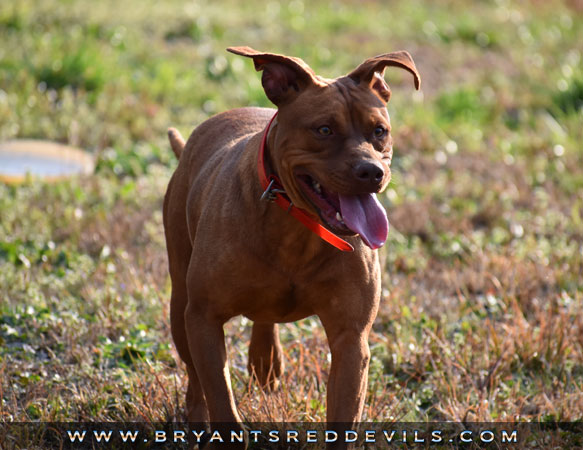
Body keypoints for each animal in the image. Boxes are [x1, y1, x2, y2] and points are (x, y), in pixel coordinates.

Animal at [163, 46, 420, 446]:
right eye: (324, 130)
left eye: (379, 131)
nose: (372, 172)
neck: (298, 228)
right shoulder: (203, 318)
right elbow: (219, 396)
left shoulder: (351, 339)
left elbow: (343, 416)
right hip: (180, 303)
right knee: (194, 374)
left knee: (264, 319)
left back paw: (265, 361)